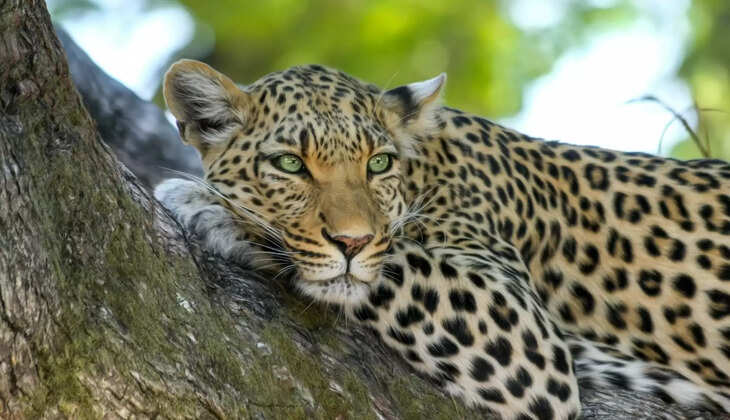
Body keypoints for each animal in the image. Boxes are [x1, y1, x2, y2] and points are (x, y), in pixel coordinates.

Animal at [154, 59, 730, 419]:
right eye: (290, 164)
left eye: (378, 163)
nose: (351, 242)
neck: (426, 170)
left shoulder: (524, 334)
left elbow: (397, 261)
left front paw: (210, 207)